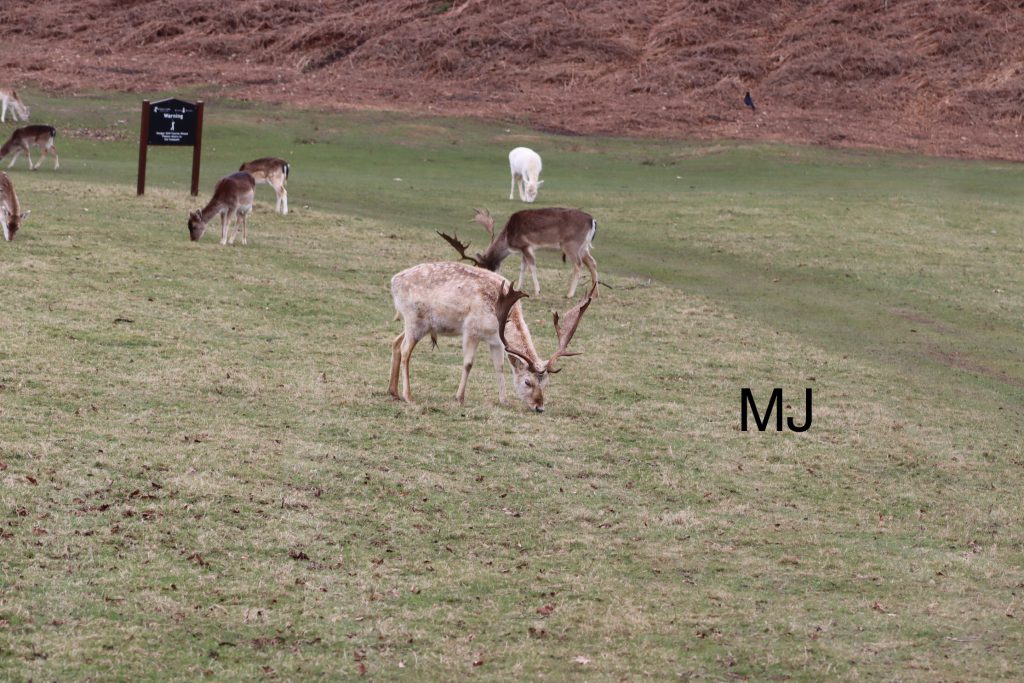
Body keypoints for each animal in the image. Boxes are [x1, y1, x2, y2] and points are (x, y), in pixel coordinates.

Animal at [389, 261, 594, 412]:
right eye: (527, 382)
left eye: (546, 383)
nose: (539, 407)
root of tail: (394, 281)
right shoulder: (471, 330)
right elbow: (468, 364)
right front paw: (459, 397)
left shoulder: (496, 341)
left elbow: (499, 367)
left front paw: (504, 400)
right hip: (415, 320)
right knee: (406, 350)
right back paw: (408, 396)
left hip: (419, 324)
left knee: (396, 342)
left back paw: (393, 392)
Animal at [438, 207, 599, 298]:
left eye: (482, 268)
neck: (509, 238)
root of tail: (593, 220)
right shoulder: (522, 250)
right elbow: (522, 268)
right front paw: (517, 288)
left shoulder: (526, 245)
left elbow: (532, 267)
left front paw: (537, 291)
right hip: (583, 247)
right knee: (593, 263)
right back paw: (595, 293)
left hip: (571, 245)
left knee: (578, 265)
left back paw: (570, 294)